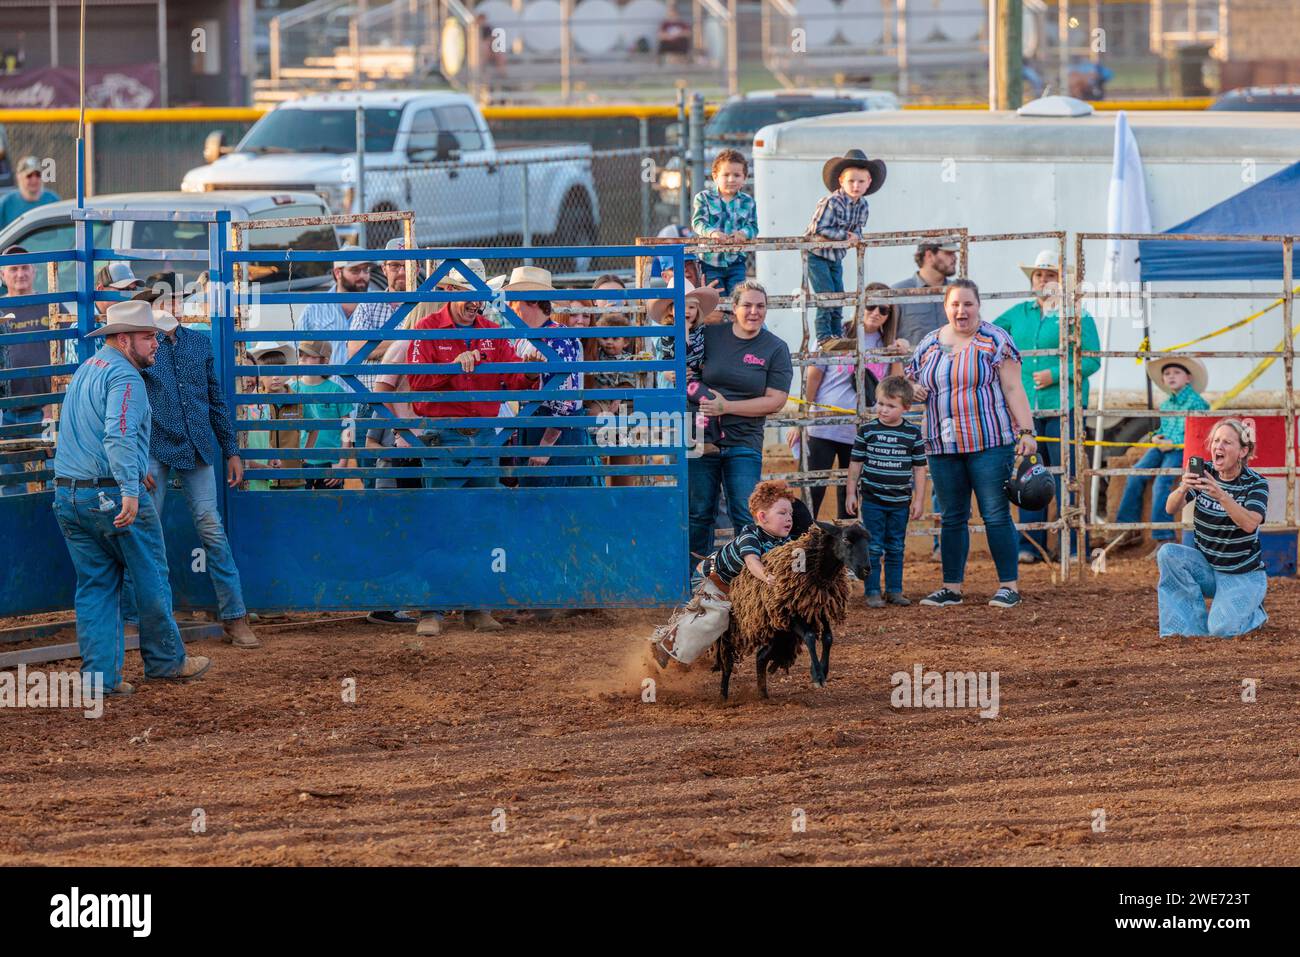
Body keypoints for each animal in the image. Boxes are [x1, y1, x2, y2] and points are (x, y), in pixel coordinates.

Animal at [717, 520, 868, 696]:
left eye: (868, 540)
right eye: (845, 539)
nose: (866, 569)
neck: (817, 572)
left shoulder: (819, 608)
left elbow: (828, 638)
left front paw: (823, 670)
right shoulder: (788, 613)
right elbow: (810, 636)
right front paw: (817, 675)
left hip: (778, 633)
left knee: (761, 656)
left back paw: (762, 694)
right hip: (735, 632)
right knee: (727, 660)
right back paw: (723, 694)